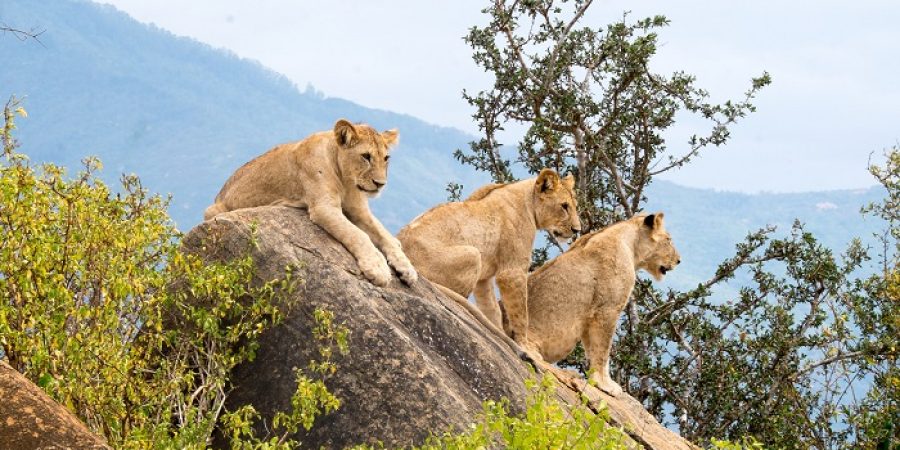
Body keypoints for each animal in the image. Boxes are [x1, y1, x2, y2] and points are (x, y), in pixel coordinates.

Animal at [203, 118, 414, 288]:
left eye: (386, 158)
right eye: (366, 156)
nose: (380, 184)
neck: (346, 179)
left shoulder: (359, 210)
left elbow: (383, 234)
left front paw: (407, 268)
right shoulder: (323, 207)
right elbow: (358, 234)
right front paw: (378, 268)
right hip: (212, 211)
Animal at [400, 170, 584, 356]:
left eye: (574, 205)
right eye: (564, 206)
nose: (577, 230)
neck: (528, 201)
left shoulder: (484, 279)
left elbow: (492, 309)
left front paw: (500, 335)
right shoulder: (512, 272)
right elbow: (521, 314)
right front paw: (524, 346)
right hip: (473, 254)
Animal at [524, 213, 680, 396]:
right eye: (668, 240)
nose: (679, 260)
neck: (631, 245)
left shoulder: (589, 316)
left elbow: (592, 349)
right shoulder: (607, 310)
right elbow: (603, 350)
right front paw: (606, 384)